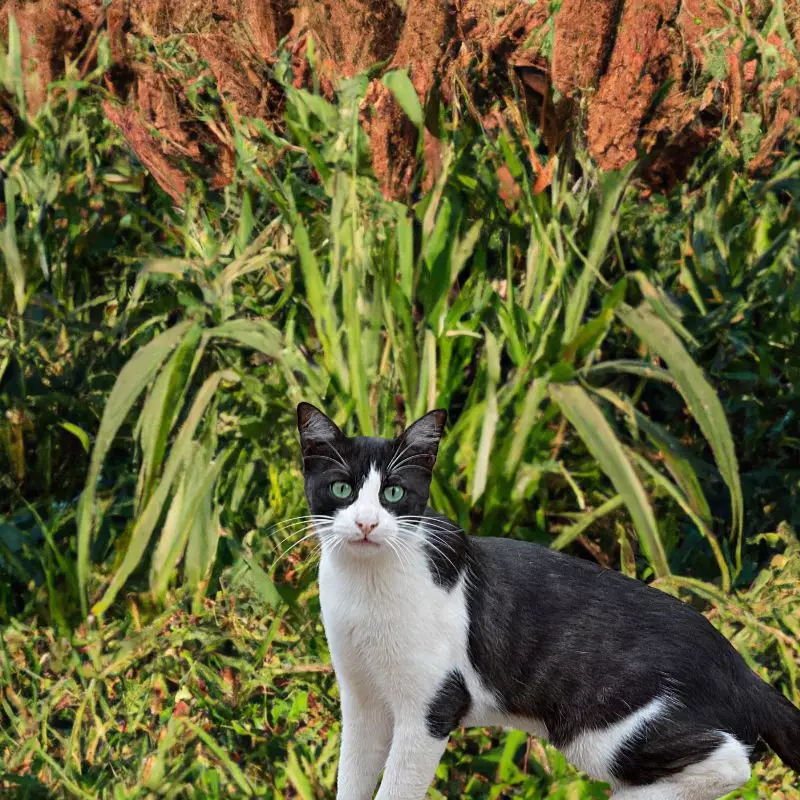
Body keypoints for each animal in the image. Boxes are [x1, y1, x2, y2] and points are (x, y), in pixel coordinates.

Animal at [296, 404, 800, 800]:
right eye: (341, 489)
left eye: (393, 492)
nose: (366, 523)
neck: (366, 587)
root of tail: (739, 668)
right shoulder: (361, 699)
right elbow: (352, 778)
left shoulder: (432, 706)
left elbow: (398, 787)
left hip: (603, 730)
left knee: (731, 761)